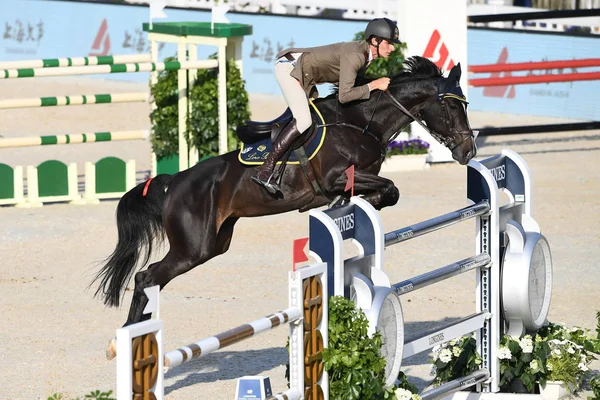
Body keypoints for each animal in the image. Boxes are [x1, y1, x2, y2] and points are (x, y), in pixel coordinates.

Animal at [95, 55, 478, 356]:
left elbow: (387, 193)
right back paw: (123, 341)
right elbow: (388, 189)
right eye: (450, 105)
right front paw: (352, 202)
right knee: (146, 277)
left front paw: (355, 205)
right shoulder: (334, 177)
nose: (468, 152)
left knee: (152, 279)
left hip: (215, 244)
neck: (361, 123)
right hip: (193, 248)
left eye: (466, 104)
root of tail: (173, 181)